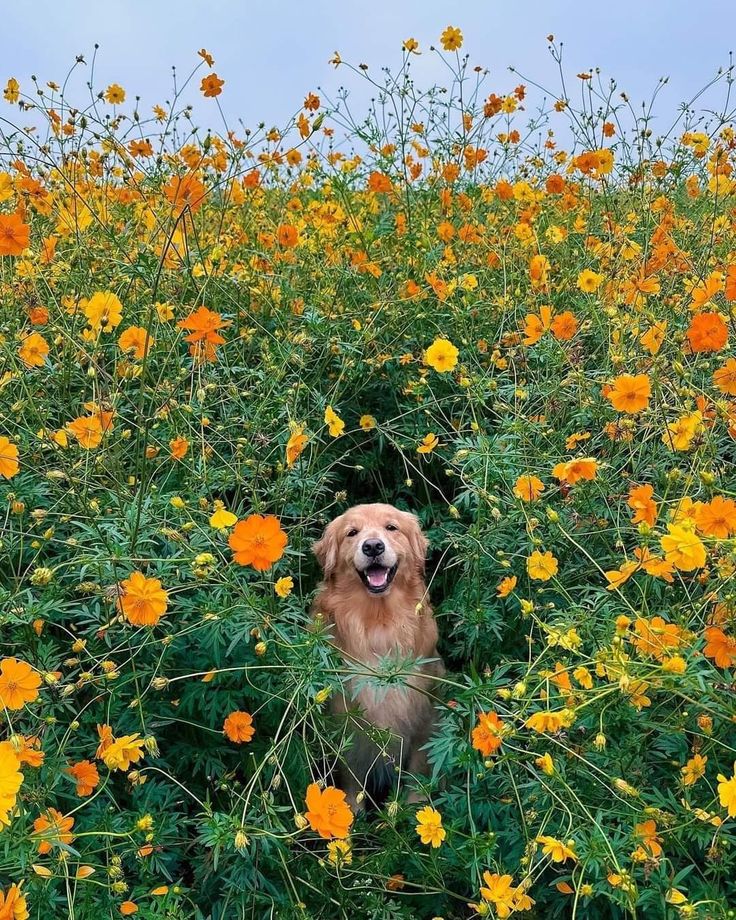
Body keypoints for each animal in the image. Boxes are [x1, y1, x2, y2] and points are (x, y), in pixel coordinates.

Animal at [310, 504, 442, 812]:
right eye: (352, 533)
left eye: (391, 527)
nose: (372, 546)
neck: (379, 622)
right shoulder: (346, 717)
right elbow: (351, 770)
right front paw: (350, 809)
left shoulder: (423, 713)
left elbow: (419, 766)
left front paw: (414, 806)